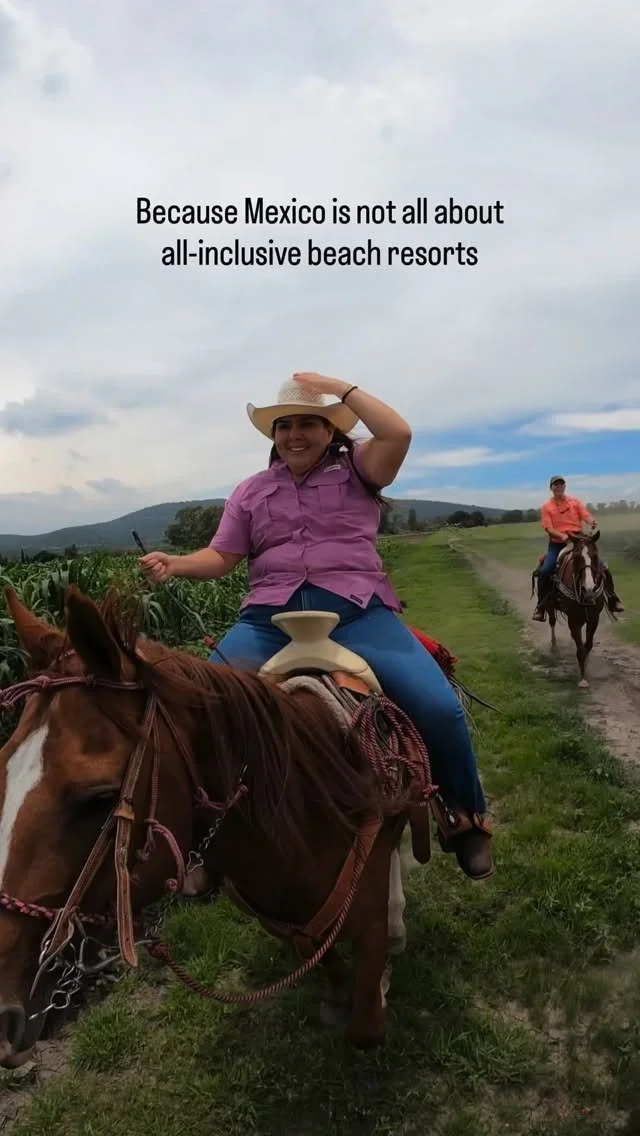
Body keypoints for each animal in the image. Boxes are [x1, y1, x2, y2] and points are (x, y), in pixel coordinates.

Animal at [0, 583, 448, 1067]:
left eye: (100, 797)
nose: (5, 1013)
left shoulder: (366, 910)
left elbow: (366, 1026)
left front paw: (380, 978)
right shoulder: (279, 916)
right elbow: (317, 953)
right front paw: (332, 992)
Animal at [532, 530, 606, 688]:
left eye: (595, 555)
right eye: (577, 557)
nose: (589, 588)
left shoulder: (593, 619)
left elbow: (587, 646)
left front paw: (586, 668)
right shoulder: (574, 619)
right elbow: (580, 649)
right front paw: (582, 678)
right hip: (550, 606)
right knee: (552, 622)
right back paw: (554, 647)